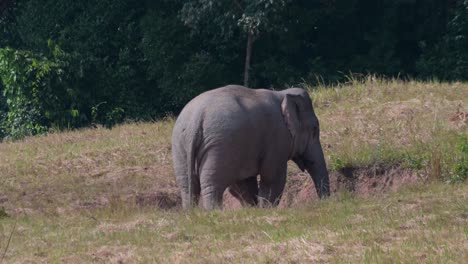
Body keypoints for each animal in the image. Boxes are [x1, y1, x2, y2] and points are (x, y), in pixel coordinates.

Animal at [171, 85, 330, 209]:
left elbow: (244, 183)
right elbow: (273, 178)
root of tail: (196, 118)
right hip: (219, 148)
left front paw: (253, 209)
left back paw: (191, 213)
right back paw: (215, 213)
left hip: (180, 147)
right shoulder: (276, 139)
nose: (325, 202)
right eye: (315, 130)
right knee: (212, 185)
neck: (282, 93)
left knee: (188, 187)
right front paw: (265, 209)